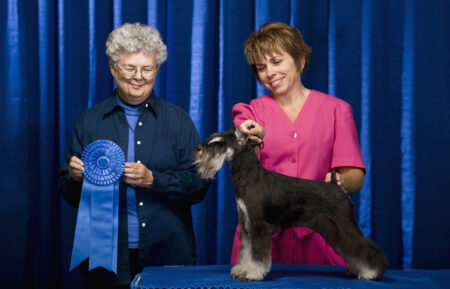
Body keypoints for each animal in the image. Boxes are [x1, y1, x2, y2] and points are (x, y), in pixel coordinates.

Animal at [193, 127, 386, 280]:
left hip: (343, 224)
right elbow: (247, 251)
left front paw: (253, 273)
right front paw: (242, 269)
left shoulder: (258, 225)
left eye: (219, 144)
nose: (198, 149)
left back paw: (371, 272)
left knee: (364, 246)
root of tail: (336, 186)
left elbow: (258, 254)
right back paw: (356, 269)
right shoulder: (246, 224)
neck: (248, 175)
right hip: (335, 231)